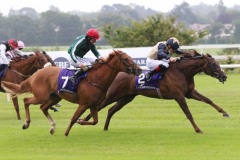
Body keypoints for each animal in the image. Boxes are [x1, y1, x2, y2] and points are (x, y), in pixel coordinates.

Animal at [1, 50, 141, 136]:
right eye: (125, 59)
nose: (139, 69)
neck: (96, 79)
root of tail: (35, 74)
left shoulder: (93, 105)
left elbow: (94, 121)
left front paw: (81, 121)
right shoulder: (83, 104)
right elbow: (73, 118)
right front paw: (66, 132)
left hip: (55, 97)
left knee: (43, 107)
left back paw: (52, 127)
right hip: (41, 96)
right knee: (26, 101)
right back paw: (26, 123)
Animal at [84, 50, 227, 133]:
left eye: (218, 63)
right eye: (213, 64)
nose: (224, 76)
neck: (182, 72)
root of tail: (119, 73)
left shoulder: (189, 93)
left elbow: (208, 100)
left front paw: (224, 113)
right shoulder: (179, 96)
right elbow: (188, 113)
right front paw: (198, 129)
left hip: (127, 97)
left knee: (111, 110)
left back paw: (105, 128)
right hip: (113, 95)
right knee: (99, 106)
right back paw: (84, 120)